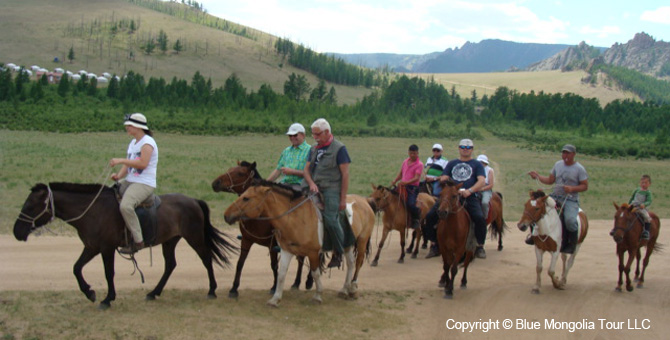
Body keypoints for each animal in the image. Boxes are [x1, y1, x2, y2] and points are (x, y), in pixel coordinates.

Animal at [12, 182, 239, 310]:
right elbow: (76, 268)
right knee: (170, 265)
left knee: (206, 258)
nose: (16, 231)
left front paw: (107, 299)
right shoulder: (91, 247)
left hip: (194, 237)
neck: (93, 210)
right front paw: (89, 292)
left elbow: (108, 273)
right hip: (170, 241)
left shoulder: (105, 249)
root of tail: (193, 200)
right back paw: (153, 292)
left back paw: (212, 290)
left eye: (30, 206)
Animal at [211, 161, 314, 298]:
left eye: (240, 173)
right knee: (301, 258)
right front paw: (234, 289)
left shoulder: (273, 244)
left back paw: (308, 281)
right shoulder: (246, 240)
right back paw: (297, 283)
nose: (215, 183)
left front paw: (274, 287)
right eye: (230, 169)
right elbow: (240, 263)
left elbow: (274, 265)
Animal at [223, 182, 376, 306]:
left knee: (358, 262)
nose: (226, 215)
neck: (294, 218)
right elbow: (281, 274)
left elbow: (315, 274)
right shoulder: (286, 251)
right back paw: (344, 289)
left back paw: (353, 289)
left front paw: (317, 296)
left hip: (362, 241)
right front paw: (275, 299)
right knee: (350, 263)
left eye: (246, 198)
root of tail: (364, 201)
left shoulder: (313, 253)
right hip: (347, 245)